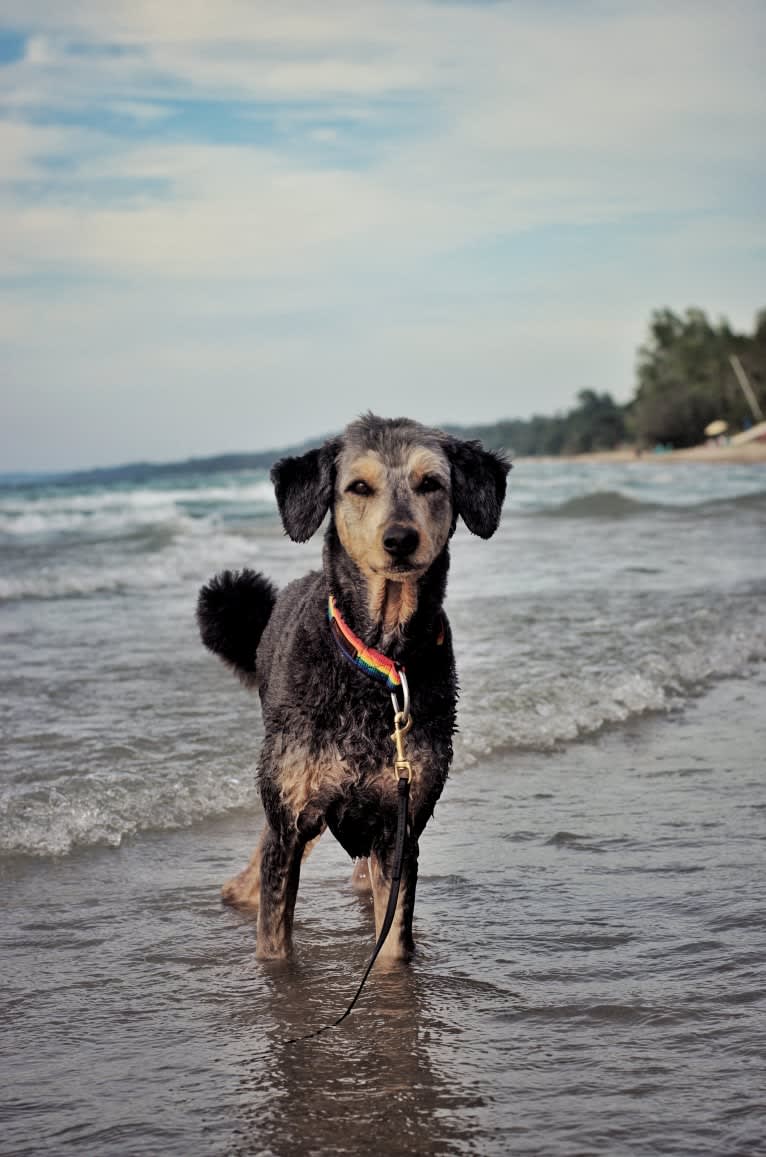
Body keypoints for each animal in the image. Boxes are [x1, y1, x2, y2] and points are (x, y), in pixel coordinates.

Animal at [197, 414, 509, 957]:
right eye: (359, 487)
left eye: (431, 483)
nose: (400, 539)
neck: (380, 661)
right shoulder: (291, 822)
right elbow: (274, 939)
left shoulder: (400, 830)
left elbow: (392, 945)